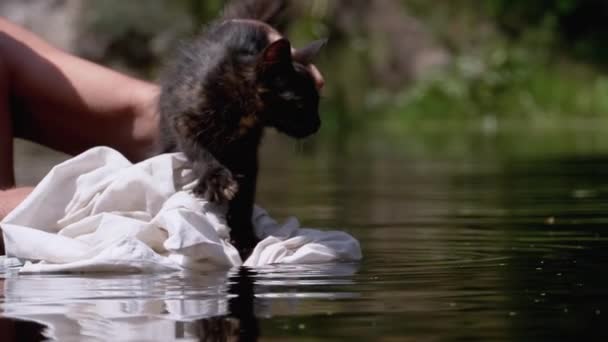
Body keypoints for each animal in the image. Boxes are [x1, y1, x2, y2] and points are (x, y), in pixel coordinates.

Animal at [159, 0, 326, 260]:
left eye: (317, 101)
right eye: (300, 104)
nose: (316, 124)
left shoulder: (246, 152)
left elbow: (245, 198)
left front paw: (245, 239)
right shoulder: (183, 118)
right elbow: (197, 150)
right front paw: (216, 180)